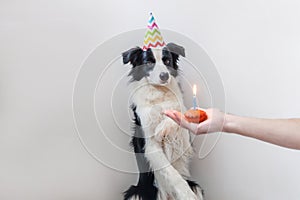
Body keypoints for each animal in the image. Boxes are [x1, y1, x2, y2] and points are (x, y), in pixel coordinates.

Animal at [122, 43, 204, 199]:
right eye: (148, 62)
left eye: (167, 61)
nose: (164, 75)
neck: (159, 94)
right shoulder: (150, 145)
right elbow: (171, 173)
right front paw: (186, 194)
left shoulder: (184, 139)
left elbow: (178, 115)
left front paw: (162, 128)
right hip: (136, 193)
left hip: (196, 186)